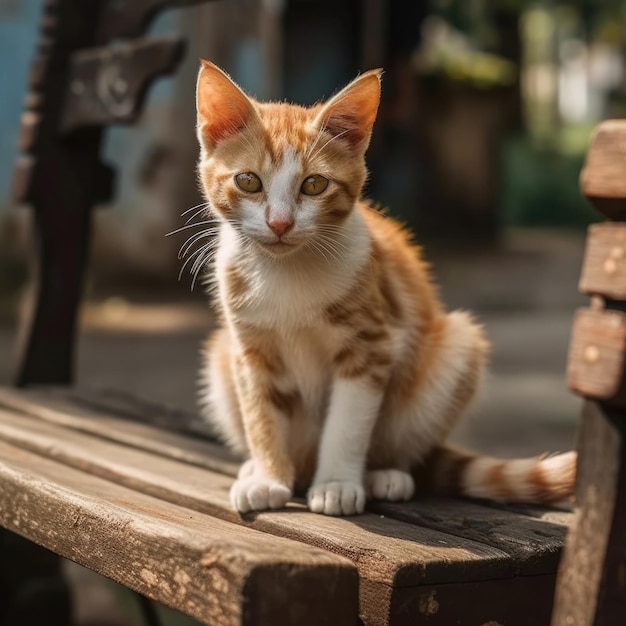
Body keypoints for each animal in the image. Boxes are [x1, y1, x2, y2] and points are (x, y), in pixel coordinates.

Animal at [191, 61, 576, 516]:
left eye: (314, 185)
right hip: (220, 353)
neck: (286, 273)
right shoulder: (250, 350)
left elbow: (348, 421)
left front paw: (338, 483)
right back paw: (264, 468)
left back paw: (384, 474)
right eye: (249, 181)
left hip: (455, 345)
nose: (280, 223)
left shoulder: (371, 343)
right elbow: (260, 413)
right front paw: (269, 476)